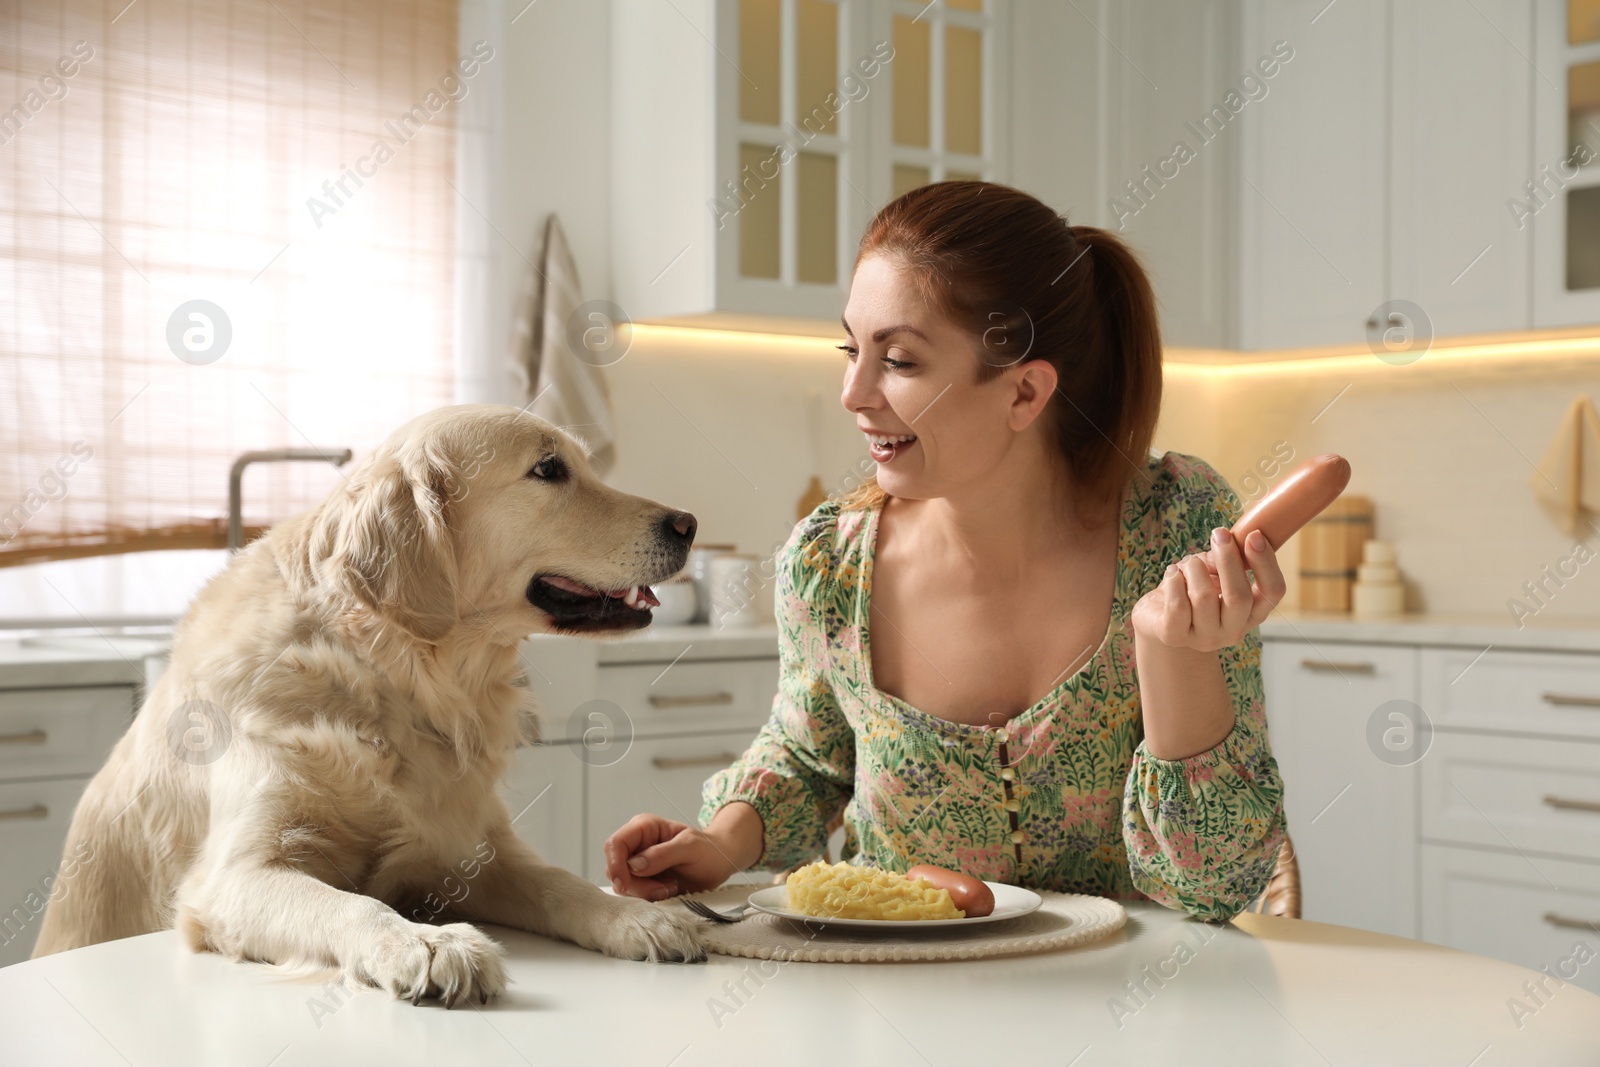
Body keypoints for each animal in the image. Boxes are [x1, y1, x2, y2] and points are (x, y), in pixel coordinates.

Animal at [29, 406, 707, 1004]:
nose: (689, 524)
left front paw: (637, 916)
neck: (389, 679)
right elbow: (351, 903)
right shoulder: (233, 877)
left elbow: (559, 881)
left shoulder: (471, 853)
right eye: (548, 469)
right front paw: (425, 943)